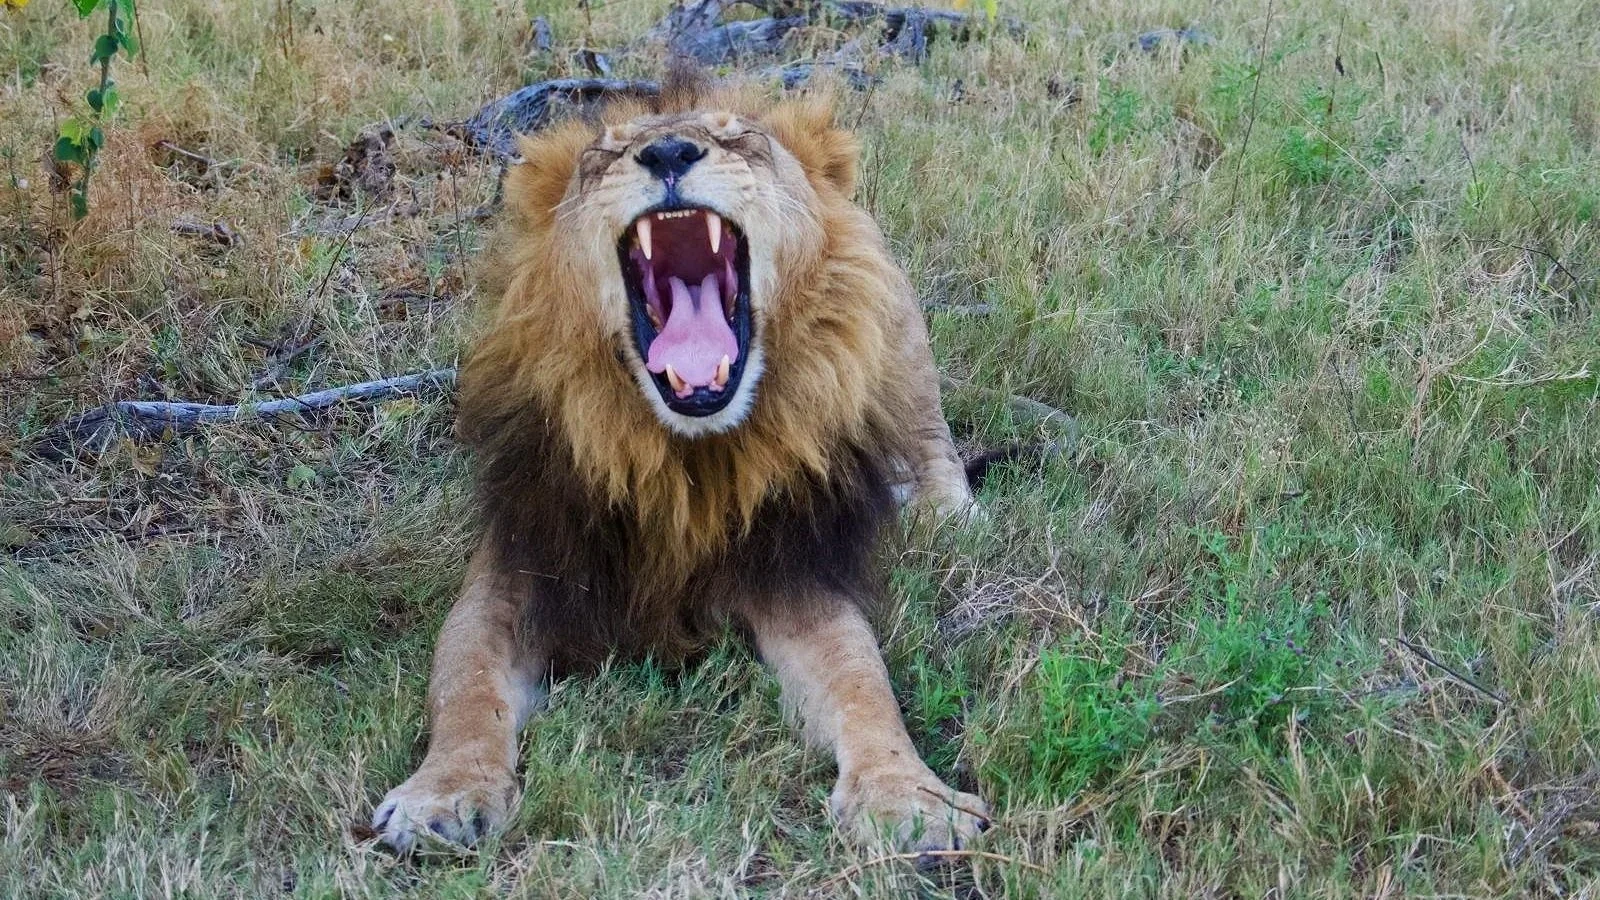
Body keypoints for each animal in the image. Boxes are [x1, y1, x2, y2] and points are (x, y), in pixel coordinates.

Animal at [372, 69, 990, 856]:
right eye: (604, 155)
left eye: (740, 140)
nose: (667, 152)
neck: (682, 454)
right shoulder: (520, 566)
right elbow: (465, 686)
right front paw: (441, 796)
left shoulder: (789, 570)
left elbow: (861, 680)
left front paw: (907, 796)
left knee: (931, 445)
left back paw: (945, 517)